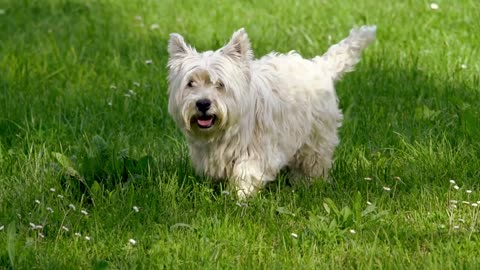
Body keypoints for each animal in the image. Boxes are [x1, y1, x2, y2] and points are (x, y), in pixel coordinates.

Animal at [167, 25, 376, 198]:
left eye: (220, 84)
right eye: (190, 83)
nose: (203, 103)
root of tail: (319, 66)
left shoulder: (258, 150)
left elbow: (245, 173)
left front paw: (239, 198)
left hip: (316, 137)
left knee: (315, 163)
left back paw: (310, 185)